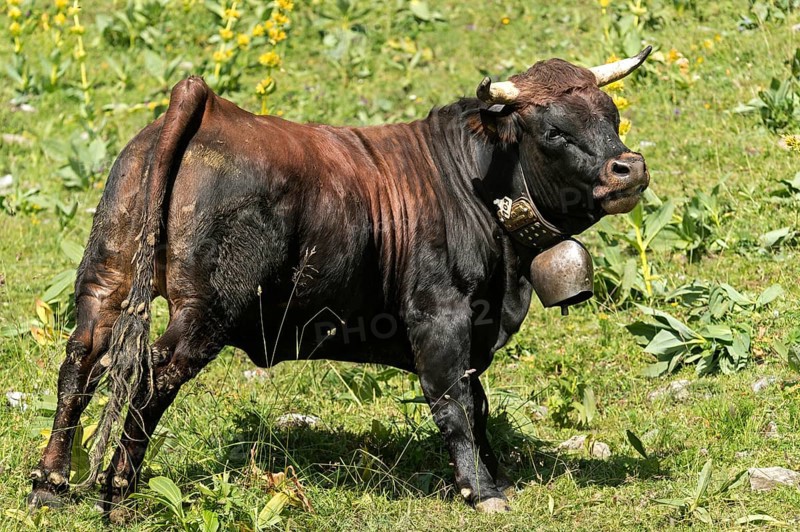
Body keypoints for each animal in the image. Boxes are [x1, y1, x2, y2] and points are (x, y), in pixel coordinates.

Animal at [28, 47, 651, 516]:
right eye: (553, 131)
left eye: (612, 116)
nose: (630, 169)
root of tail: (206, 103)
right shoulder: (441, 315)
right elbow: (453, 400)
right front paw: (480, 490)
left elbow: (477, 402)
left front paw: (496, 476)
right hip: (205, 311)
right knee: (154, 376)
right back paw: (119, 493)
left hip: (105, 280)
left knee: (79, 364)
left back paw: (50, 484)